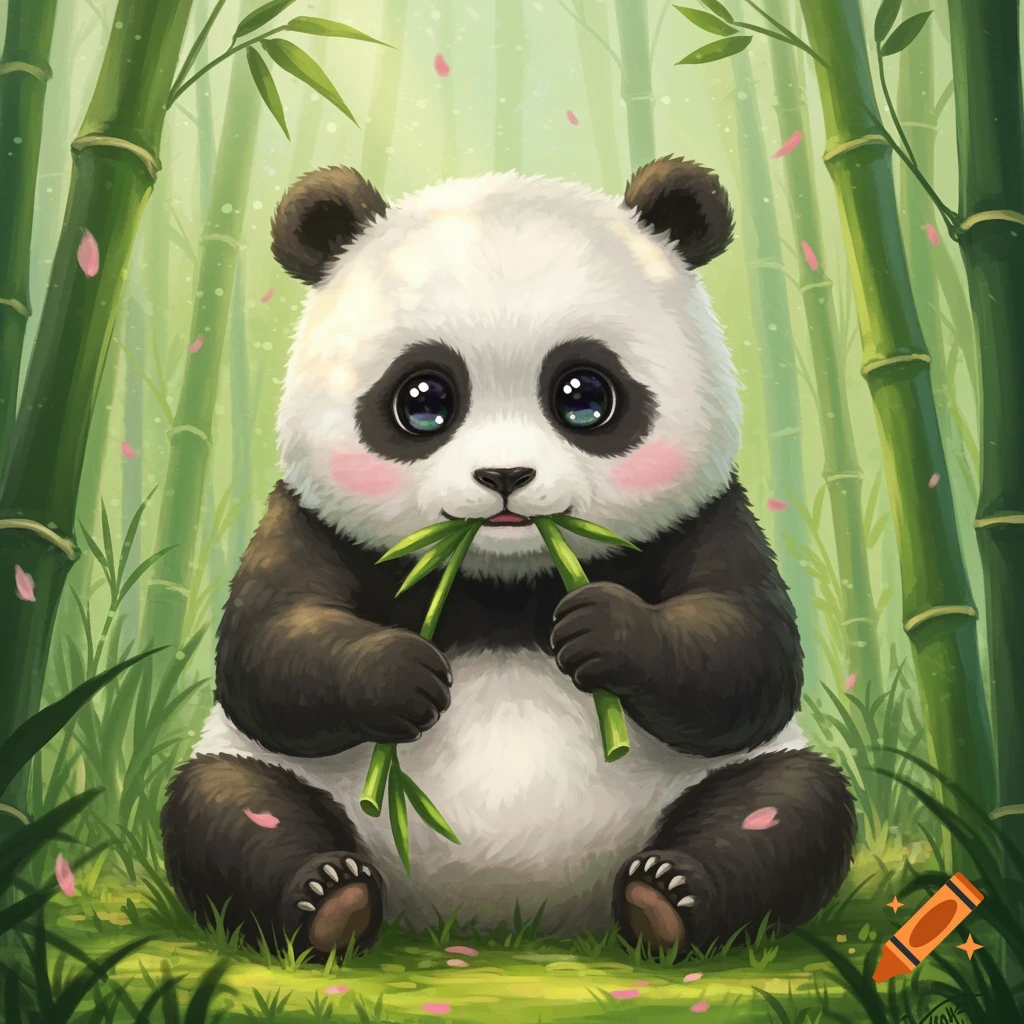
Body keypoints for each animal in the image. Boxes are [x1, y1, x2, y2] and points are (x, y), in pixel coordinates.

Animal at [161, 156, 856, 959]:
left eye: (584, 395)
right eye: (422, 400)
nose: (504, 476)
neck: (505, 580)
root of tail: (507, 912)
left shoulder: (708, 516)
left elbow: (747, 652)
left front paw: (604, 630)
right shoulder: (307, 520)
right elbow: (269, 651)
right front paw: (400, 672)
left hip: (723, 787)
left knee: (786, 805)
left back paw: (667, 896)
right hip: (265, 777)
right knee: (227, 807)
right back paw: (329, 898)